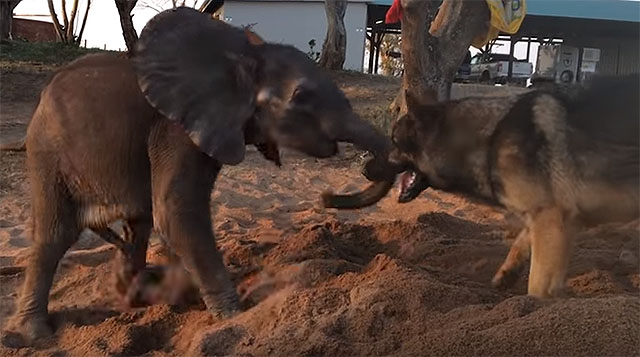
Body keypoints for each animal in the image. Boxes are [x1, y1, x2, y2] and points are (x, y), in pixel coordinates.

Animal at [3, 6, 390, 344]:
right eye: (301, 96)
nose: (327, 197)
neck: (243, 57)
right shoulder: (174, 128)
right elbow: (176, 211)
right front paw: (236, 314)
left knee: (137, 225)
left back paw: (136, 296)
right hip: (47, 153)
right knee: (56, 234)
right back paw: (38, 335)